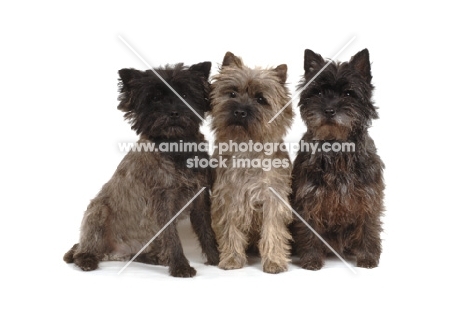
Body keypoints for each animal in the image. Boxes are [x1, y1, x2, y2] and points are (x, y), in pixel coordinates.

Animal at [62, 61, 221, 278]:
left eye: (185, 94)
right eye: (154, 98)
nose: (173, 113)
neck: (176, 149)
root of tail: (114, 253)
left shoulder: (200, 198)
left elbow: (206, 230)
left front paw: (217, 259)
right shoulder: (162, 203)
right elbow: (171, 236)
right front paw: (180, 266)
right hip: (98, 211)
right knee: (83, 247)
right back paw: (86, 259)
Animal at [210, 51, 294, 274]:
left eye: (261, 99)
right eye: (232, 93)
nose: (240, 111)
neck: (246, 147)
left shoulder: (272, 199)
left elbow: (273, 231)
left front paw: (274, 261)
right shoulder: (229, 198)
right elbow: (230, 229)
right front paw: (232, 258)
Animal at [290, 48, 386, 268]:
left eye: (348, 93)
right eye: (317, 92)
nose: (329, 110)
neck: (336, 146)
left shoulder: (368, 196)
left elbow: (369, 226)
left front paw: (368, 257)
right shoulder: (309, 198)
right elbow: (309, 229)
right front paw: (311, 259)